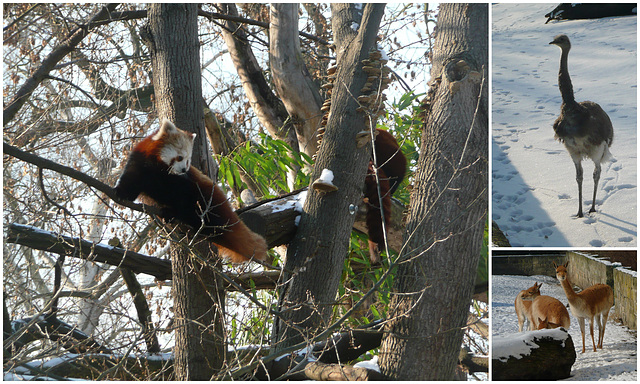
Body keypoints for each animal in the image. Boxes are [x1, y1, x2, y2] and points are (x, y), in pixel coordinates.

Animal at [112, 119, 268, 264]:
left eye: (188, 161)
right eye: (180, 157)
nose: (183, 169)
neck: (158, 167)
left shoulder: (181, 180)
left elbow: (181, 195)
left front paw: (174, 211)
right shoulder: (139, 162)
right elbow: (131, 182)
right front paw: (120, 193)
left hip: (208, 197)